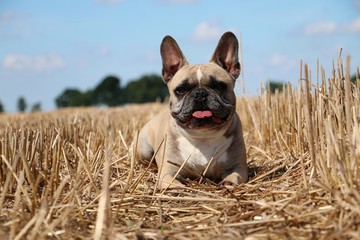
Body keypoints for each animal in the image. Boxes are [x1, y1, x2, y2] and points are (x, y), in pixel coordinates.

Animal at [137, 31, 248, 189]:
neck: (202, 136)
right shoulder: (168, 171)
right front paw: (177, 188)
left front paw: (229, 182)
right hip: (144, 150)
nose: (200, 94)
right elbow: (171, 182)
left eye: (219, 86)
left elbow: (235, 175)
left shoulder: (238, 166)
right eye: (181, 90)